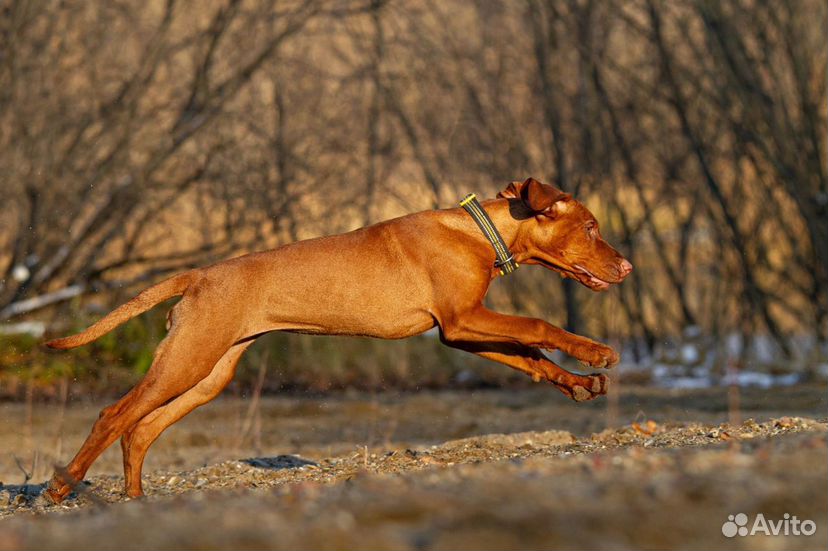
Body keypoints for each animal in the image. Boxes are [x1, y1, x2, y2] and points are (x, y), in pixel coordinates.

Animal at [45, 179, 632, 502]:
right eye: (591, 228)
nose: (628, 267)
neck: (479, 232)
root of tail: (199, 275)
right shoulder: (464, 319)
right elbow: (538, 327)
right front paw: (597, 351)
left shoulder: (461, 332)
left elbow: (531, 356)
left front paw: (580, 384)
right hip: (187, 361)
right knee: (114, 416)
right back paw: (62, 485)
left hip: (209, 372)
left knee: (141, 429)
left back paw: (136, 498)